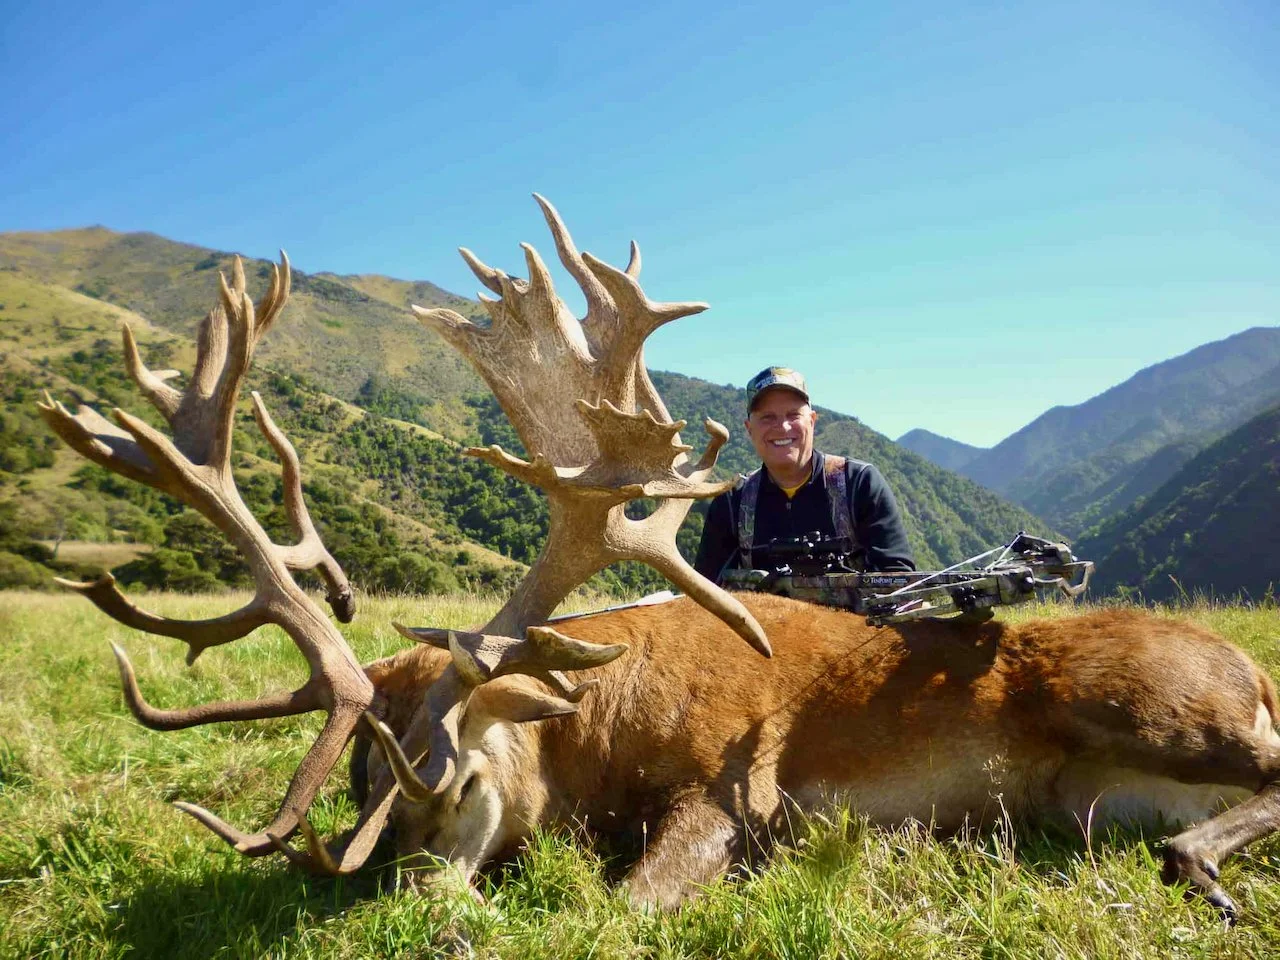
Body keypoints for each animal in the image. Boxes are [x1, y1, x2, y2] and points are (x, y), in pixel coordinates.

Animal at [40, 196, 1280, 922]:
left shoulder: (740, 782)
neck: (597, 730)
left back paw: (1199, 864)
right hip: (1097, 792)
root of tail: (1252, 668)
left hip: (1145, 700)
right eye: (356, 792)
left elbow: (617, 910)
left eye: (448, 780)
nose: (407, 898)